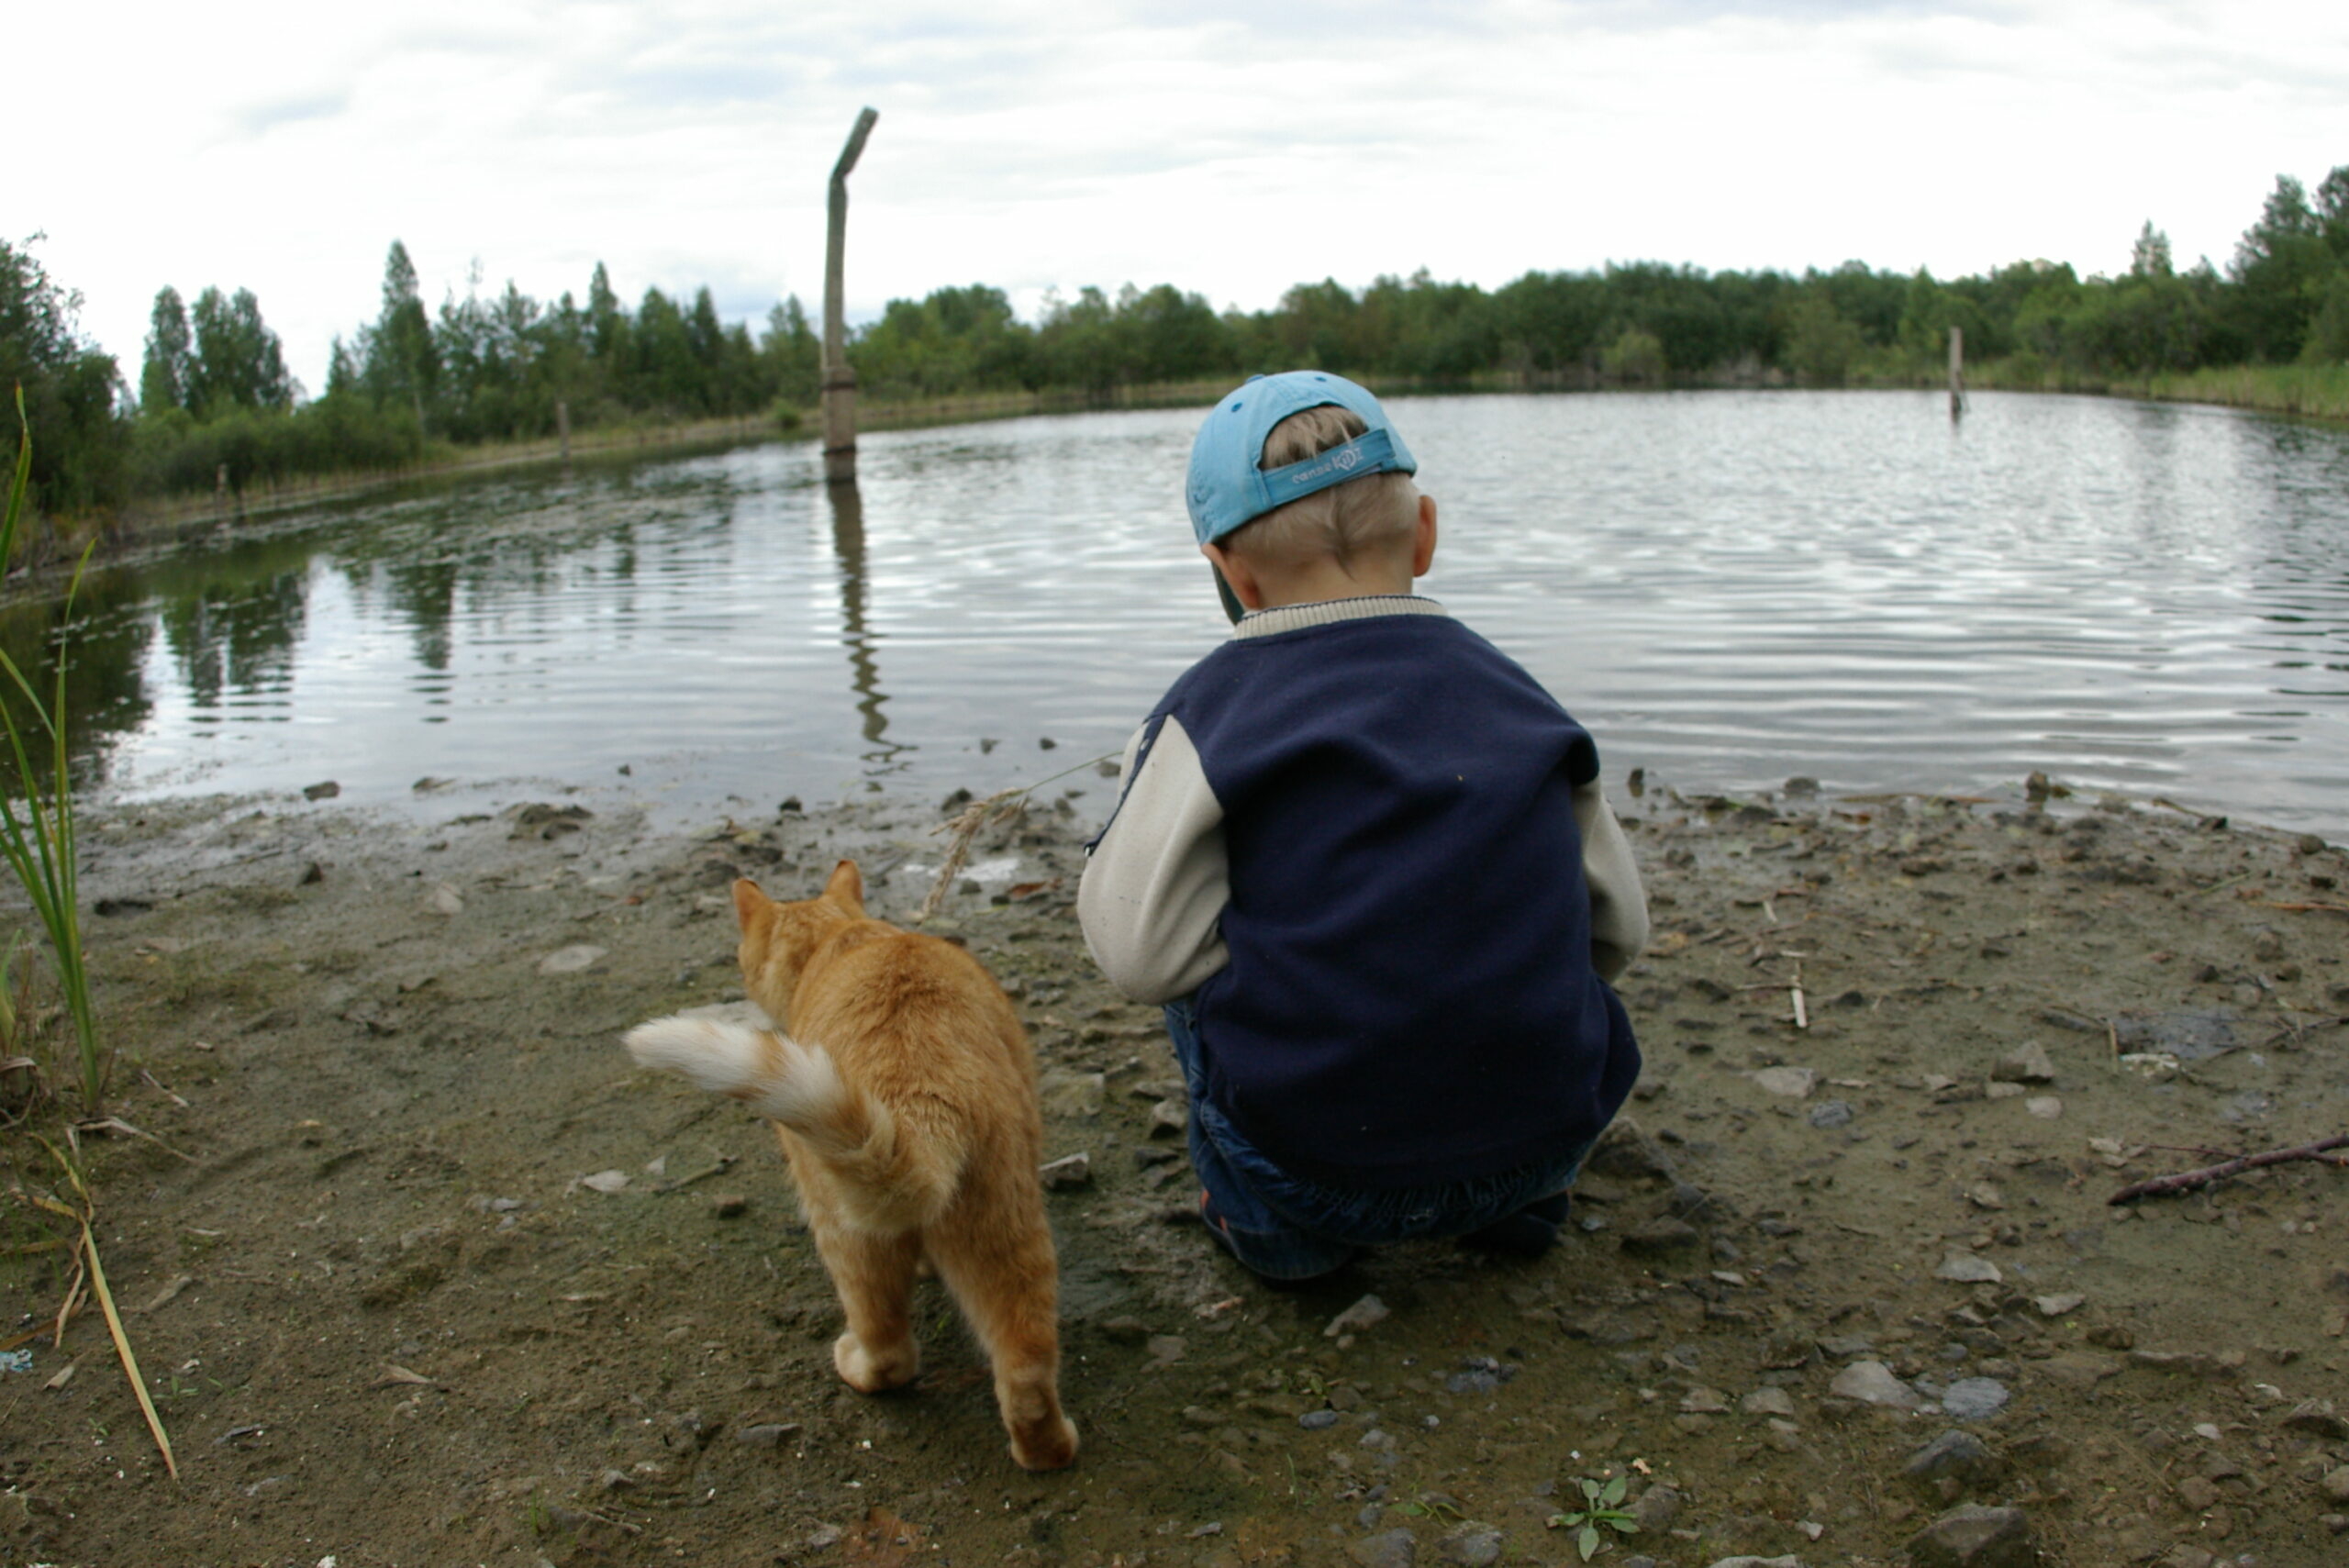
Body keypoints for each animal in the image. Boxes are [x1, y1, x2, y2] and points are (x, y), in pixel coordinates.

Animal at [615, 859, 1075, 1473]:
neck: (839, 936)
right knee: (1025, 1370)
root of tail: (917, 1095)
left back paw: (856, 1362)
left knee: (889, 1351)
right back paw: (1048, 1448)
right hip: (1005, 1232)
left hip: (844, 1230)